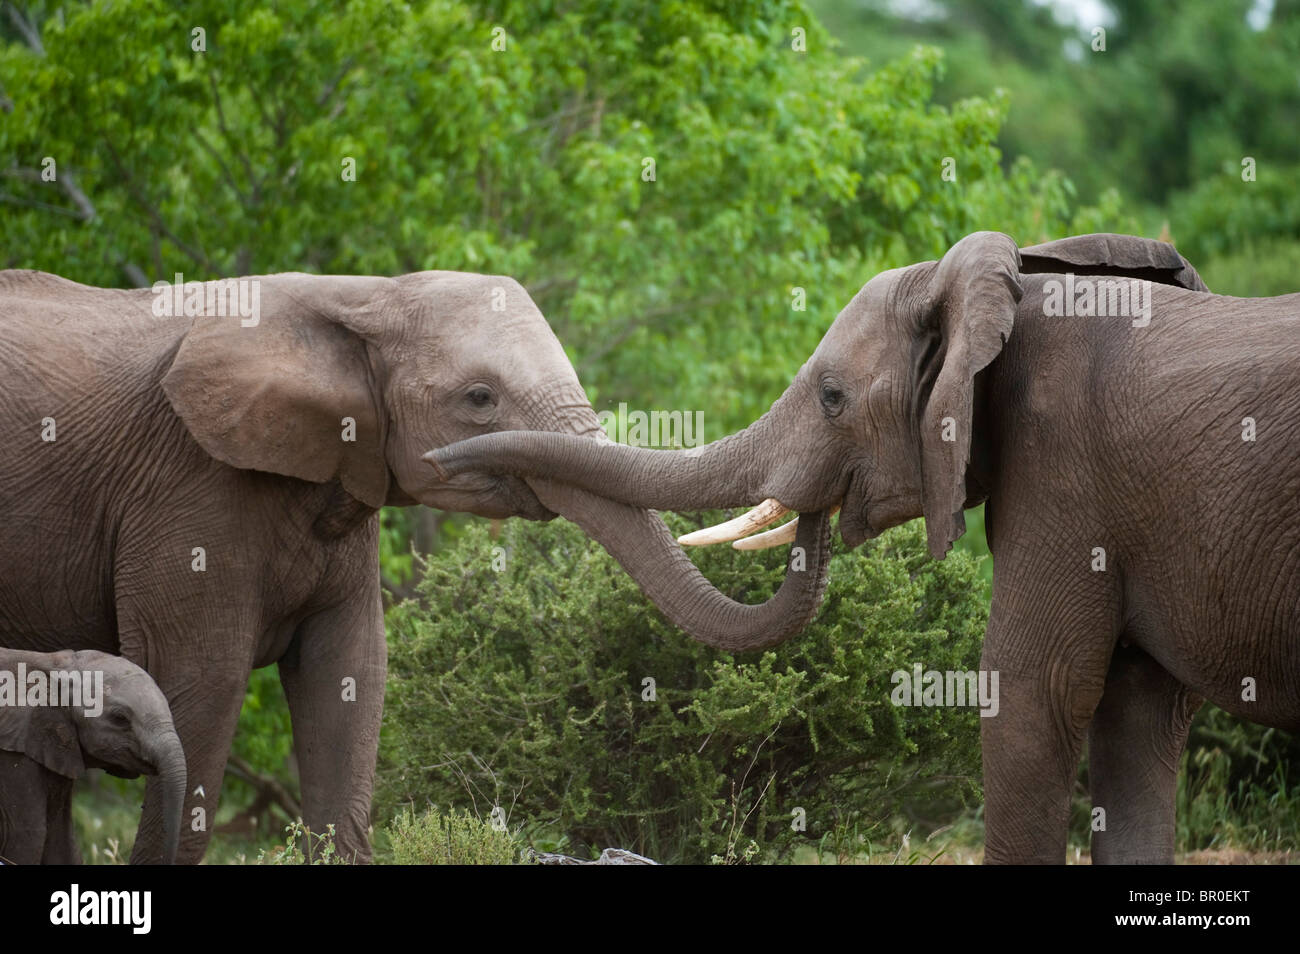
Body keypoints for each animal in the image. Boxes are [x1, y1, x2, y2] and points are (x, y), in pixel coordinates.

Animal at [0, 649, 185, 868]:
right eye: (119, 719)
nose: (166, 858)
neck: (58, 666)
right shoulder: (14, 759)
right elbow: (27, 835)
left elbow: (61, 838)